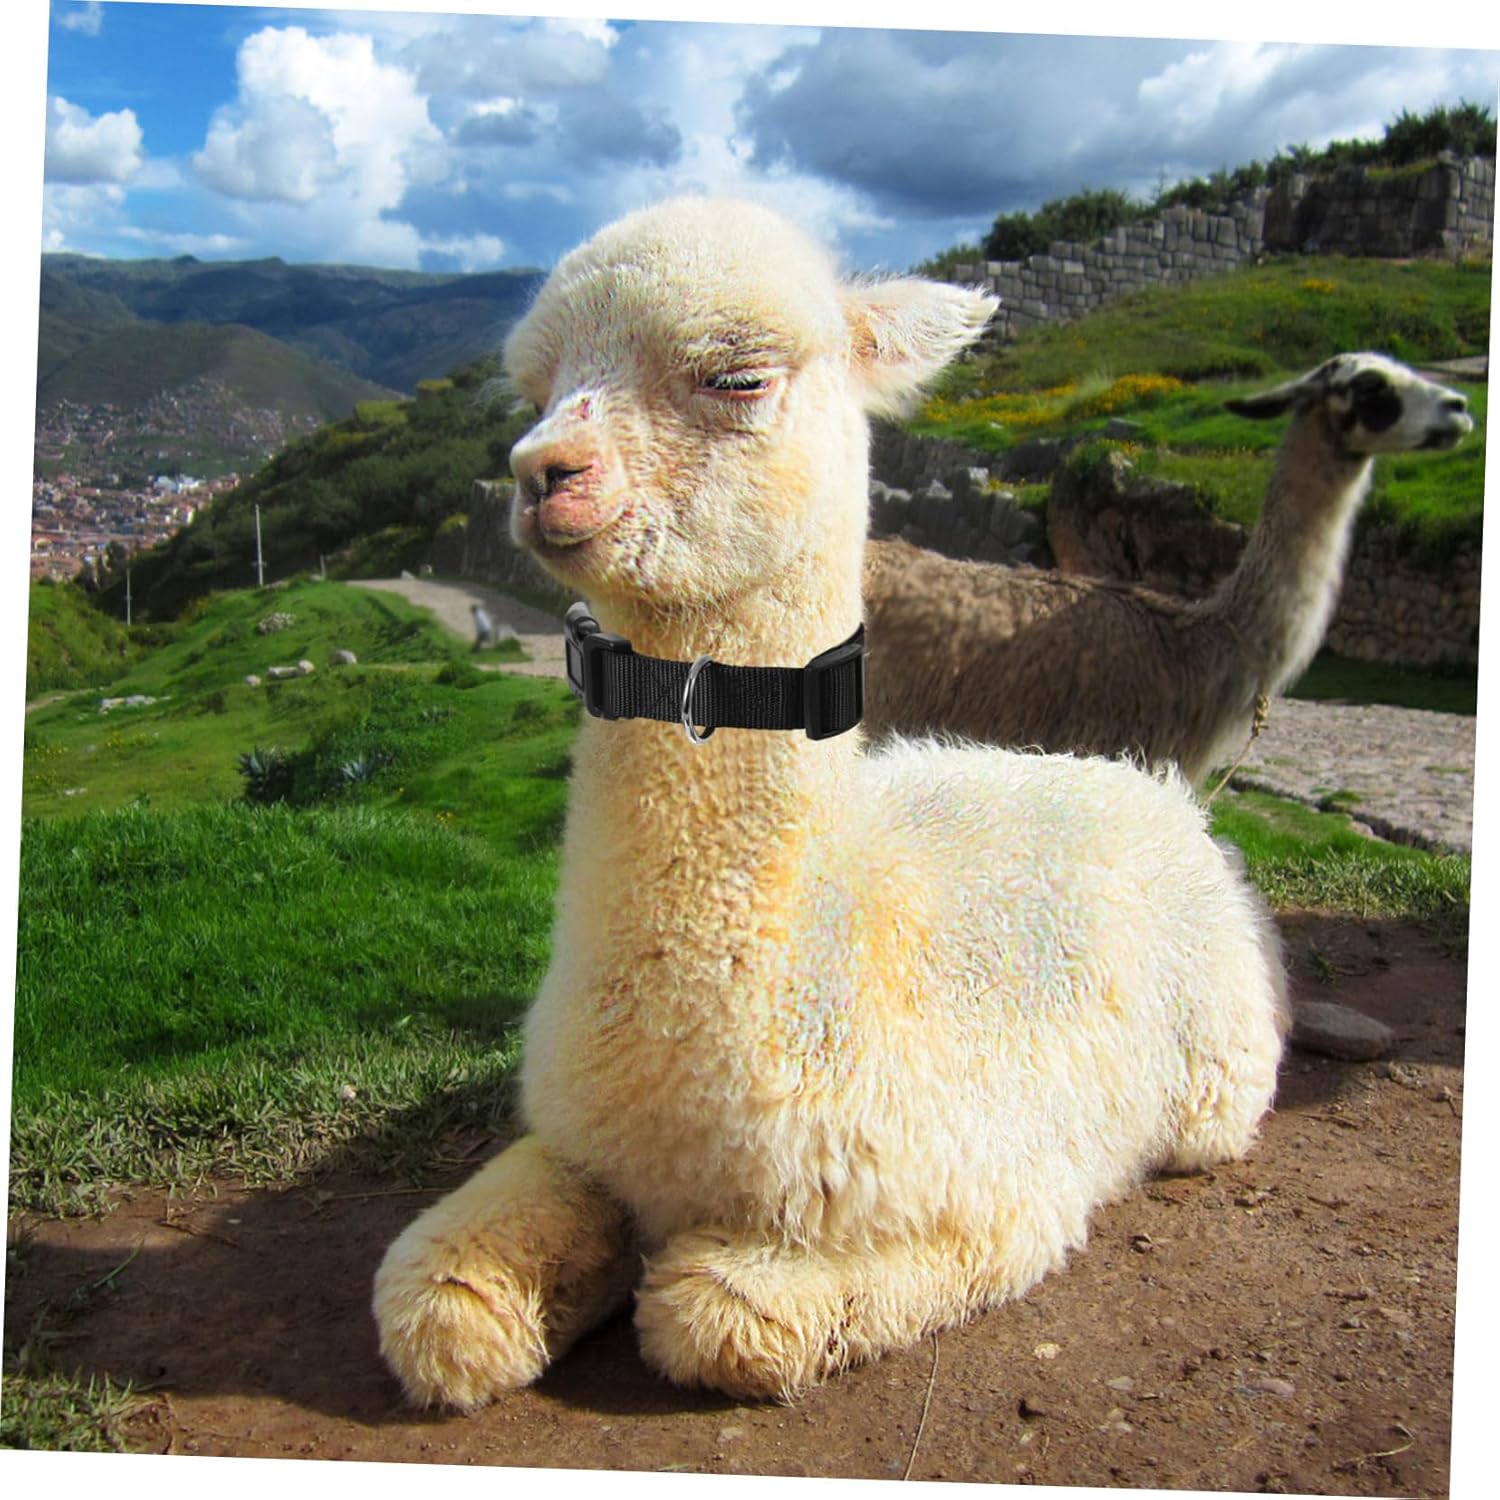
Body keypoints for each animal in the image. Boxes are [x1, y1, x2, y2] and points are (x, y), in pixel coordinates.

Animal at [372, 197, 1289, 1409]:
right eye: (538, 387)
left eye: (737, 376)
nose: (540, 472)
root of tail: (1134, 782)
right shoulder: (579, 1139)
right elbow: (441, 1298)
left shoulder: (989, 1191)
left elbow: (718, 1312)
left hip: (1217, 1072)